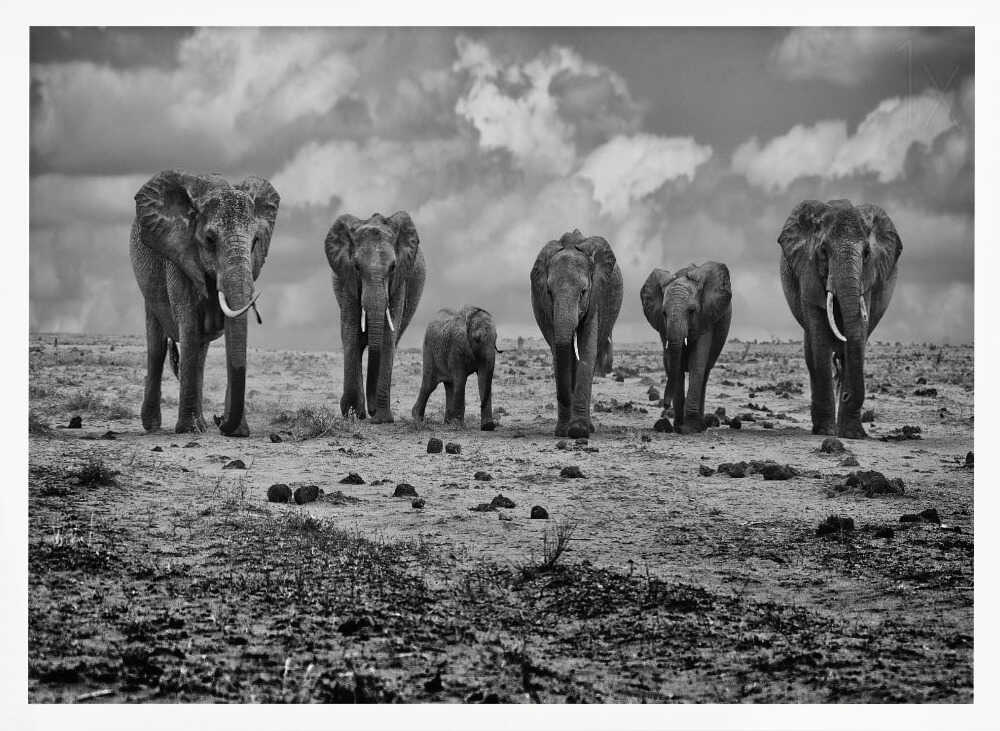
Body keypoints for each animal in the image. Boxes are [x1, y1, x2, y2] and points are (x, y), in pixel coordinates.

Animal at [130, 170, 280, 435]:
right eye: (209, 240)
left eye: (255, 242)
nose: (219, 419)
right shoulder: (179, 257)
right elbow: (188, 325)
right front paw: (188, 430)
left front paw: (238, 433)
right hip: (148, 286)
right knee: (157, 346)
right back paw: (154, 426)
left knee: (200, 350)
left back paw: (200, 424)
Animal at [325, 212, 426, 422]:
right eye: (356, 266)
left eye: (393, 267)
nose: (371, 412)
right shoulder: (347, 281)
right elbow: (350, 333)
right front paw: (352, 414)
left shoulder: (400, 282)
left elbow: (388, 336)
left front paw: (382, 420)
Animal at [530, 229, 623, 438]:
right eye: (549, 292)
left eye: (583, 292)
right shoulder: (545, 307)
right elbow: (559, 352)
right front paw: (564, 431)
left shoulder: (596, 296)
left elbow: (587, 348)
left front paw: (579, 431)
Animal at [640, 262, 732, 434]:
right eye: (664, 313)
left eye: (691, 311)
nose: (665, 405)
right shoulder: (663, 326)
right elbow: (673, 363)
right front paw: (678, 426)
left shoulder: (706, 316)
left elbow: (697, 360)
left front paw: (690, 428)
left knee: (704, 373)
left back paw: (701, 425)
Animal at [778, 199, 902, 439]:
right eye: (823, 250)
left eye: (866, 253)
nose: (845, 395)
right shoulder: (807, 271)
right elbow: (819, 340)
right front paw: (826, 431)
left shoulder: (868, 279)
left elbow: (859, 330)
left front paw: (852, 435)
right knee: (811, 355)